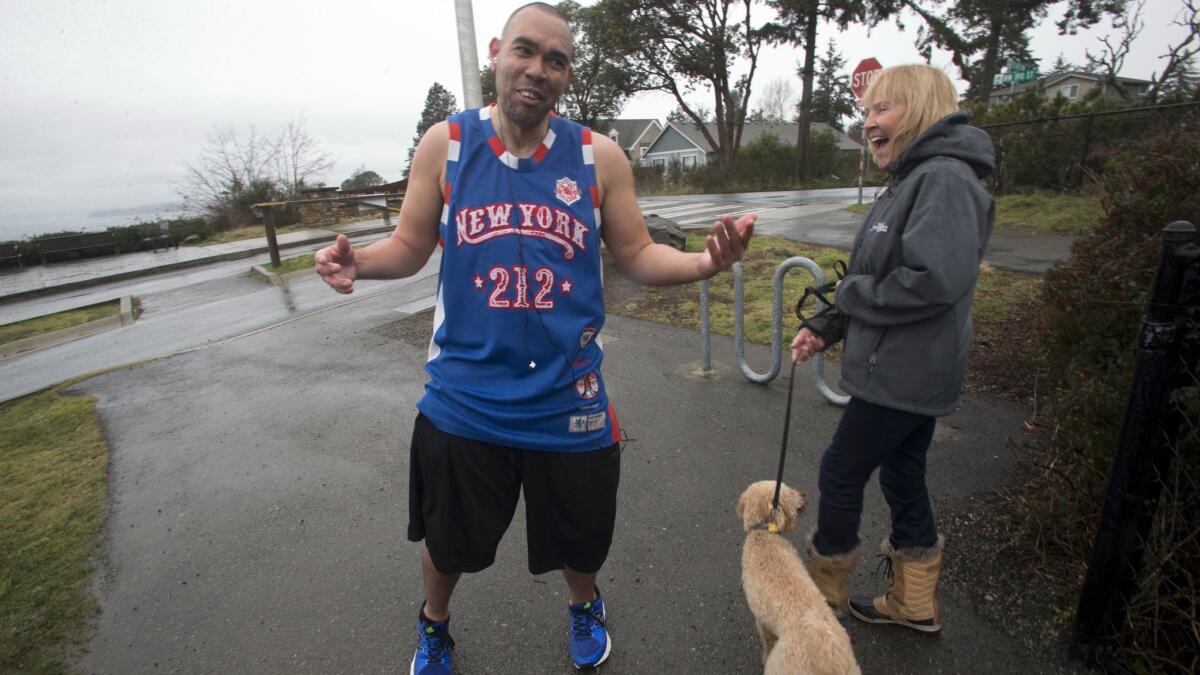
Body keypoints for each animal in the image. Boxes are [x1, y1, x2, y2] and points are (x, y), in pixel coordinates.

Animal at [734, 478, 859, 672]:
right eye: (789, 492)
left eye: (784, 489)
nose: (804, 495)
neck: (764, 533)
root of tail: (831, 660)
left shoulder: (761, 619)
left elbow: (767, 641)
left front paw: (763, 657)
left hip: (784, 665)